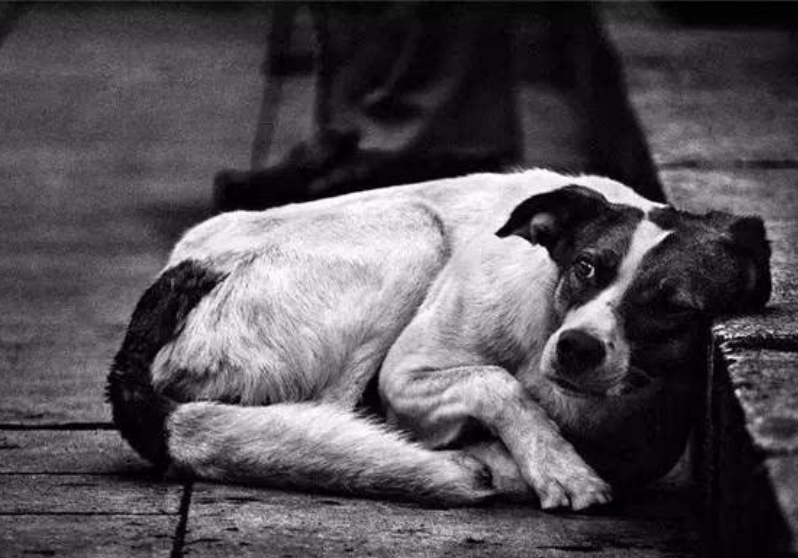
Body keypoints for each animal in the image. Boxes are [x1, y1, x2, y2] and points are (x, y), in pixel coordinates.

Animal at [108, 170, 776, 512]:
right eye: (587, 267)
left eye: (674, 306)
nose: (577, 348)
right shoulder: (405, 376)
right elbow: (496, 382)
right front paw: (557, 466)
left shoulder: (648, 435)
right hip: (410, 229)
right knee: (323, 414)